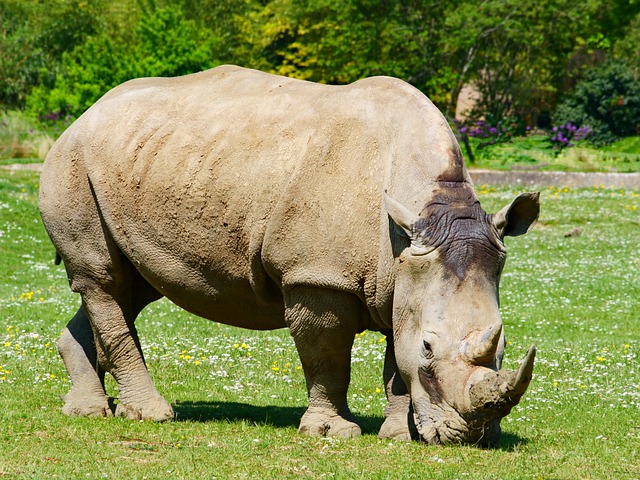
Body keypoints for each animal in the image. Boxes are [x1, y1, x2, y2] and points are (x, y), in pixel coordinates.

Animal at [38, 64, 540, 446]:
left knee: (128, 286)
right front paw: (333, 433)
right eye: (430, 348)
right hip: (72, 164)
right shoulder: (317, 276)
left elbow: (396, 361)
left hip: (144, 165)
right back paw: (152, 415)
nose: (474, 437)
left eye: (505, 347)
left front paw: (398, 435)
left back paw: (87, 411)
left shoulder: (401, 275)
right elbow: (328, 357)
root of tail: (82, 115)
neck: (427, 205)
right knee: (102, 280)